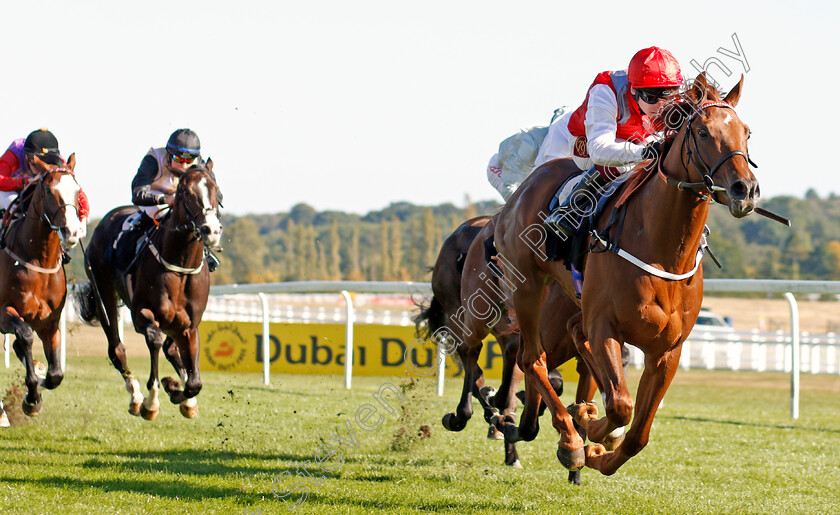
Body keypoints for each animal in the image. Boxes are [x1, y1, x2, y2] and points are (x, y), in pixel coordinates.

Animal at [0, 155, 85, 418]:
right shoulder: (3, 313)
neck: (38, 261)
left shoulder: (50, 322)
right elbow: (25, 335)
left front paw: (40, 379)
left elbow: (56, 373)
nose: (72, 231)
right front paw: (31, 398)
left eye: (77, 190)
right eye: (49, 190)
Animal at [76, 163, 221, 422]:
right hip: (104, 293)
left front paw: (178, 391)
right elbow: (154, 340)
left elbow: (194, 382)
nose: (211, 230)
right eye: (185, 192)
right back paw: (135, 396)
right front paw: (152, 402)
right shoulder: (141, 313)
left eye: (216, 190)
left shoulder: (189, 326)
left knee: (171, 349)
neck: (180, 266)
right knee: (116, 349)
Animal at [496, 73, 756, 476]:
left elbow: (637, 434)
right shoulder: (606, 326)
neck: (663, 253)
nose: (745, 189)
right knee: (532, 357)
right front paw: (588, 432)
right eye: (701, 132)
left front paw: (599, 446)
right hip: (528, 287)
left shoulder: (667, 350)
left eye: (746, 132)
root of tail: (526, 185)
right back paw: (569, 437)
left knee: (572, 336)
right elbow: (620, 405)